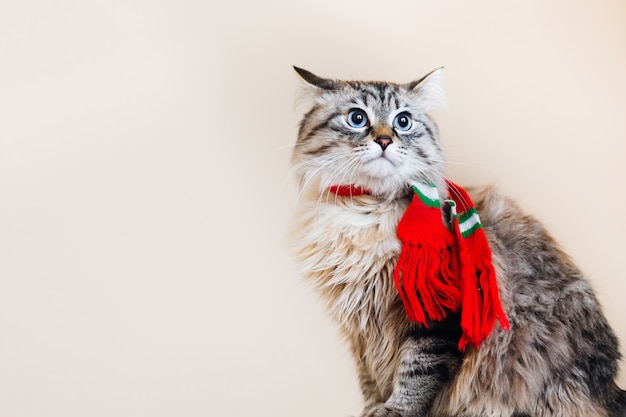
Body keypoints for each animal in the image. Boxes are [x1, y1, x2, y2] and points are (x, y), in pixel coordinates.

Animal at [292, 66, 624, 416]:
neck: (367, 207)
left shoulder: (434, 311)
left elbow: (416, 372)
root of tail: (607, 388)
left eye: (403, 121)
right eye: (357, 118)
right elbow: (369, 380)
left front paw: (396, 410)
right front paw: (371, 409)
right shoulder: (360, 329)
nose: (384, 140)